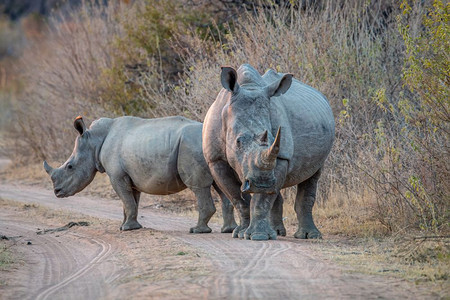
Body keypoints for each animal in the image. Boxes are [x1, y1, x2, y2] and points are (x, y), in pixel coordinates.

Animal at [44, 115, 237, 232]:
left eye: (70, 167)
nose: (57, 192)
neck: (94, 141)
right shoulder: (130, 176)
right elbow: (131, 202)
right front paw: (128, 226)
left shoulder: (117, 176)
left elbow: (127, 200)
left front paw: (126, 228)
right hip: (211, 148)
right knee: (221, 186)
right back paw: (227, 230)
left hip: (191, 146)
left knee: (199, 187)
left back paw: (196, 231)